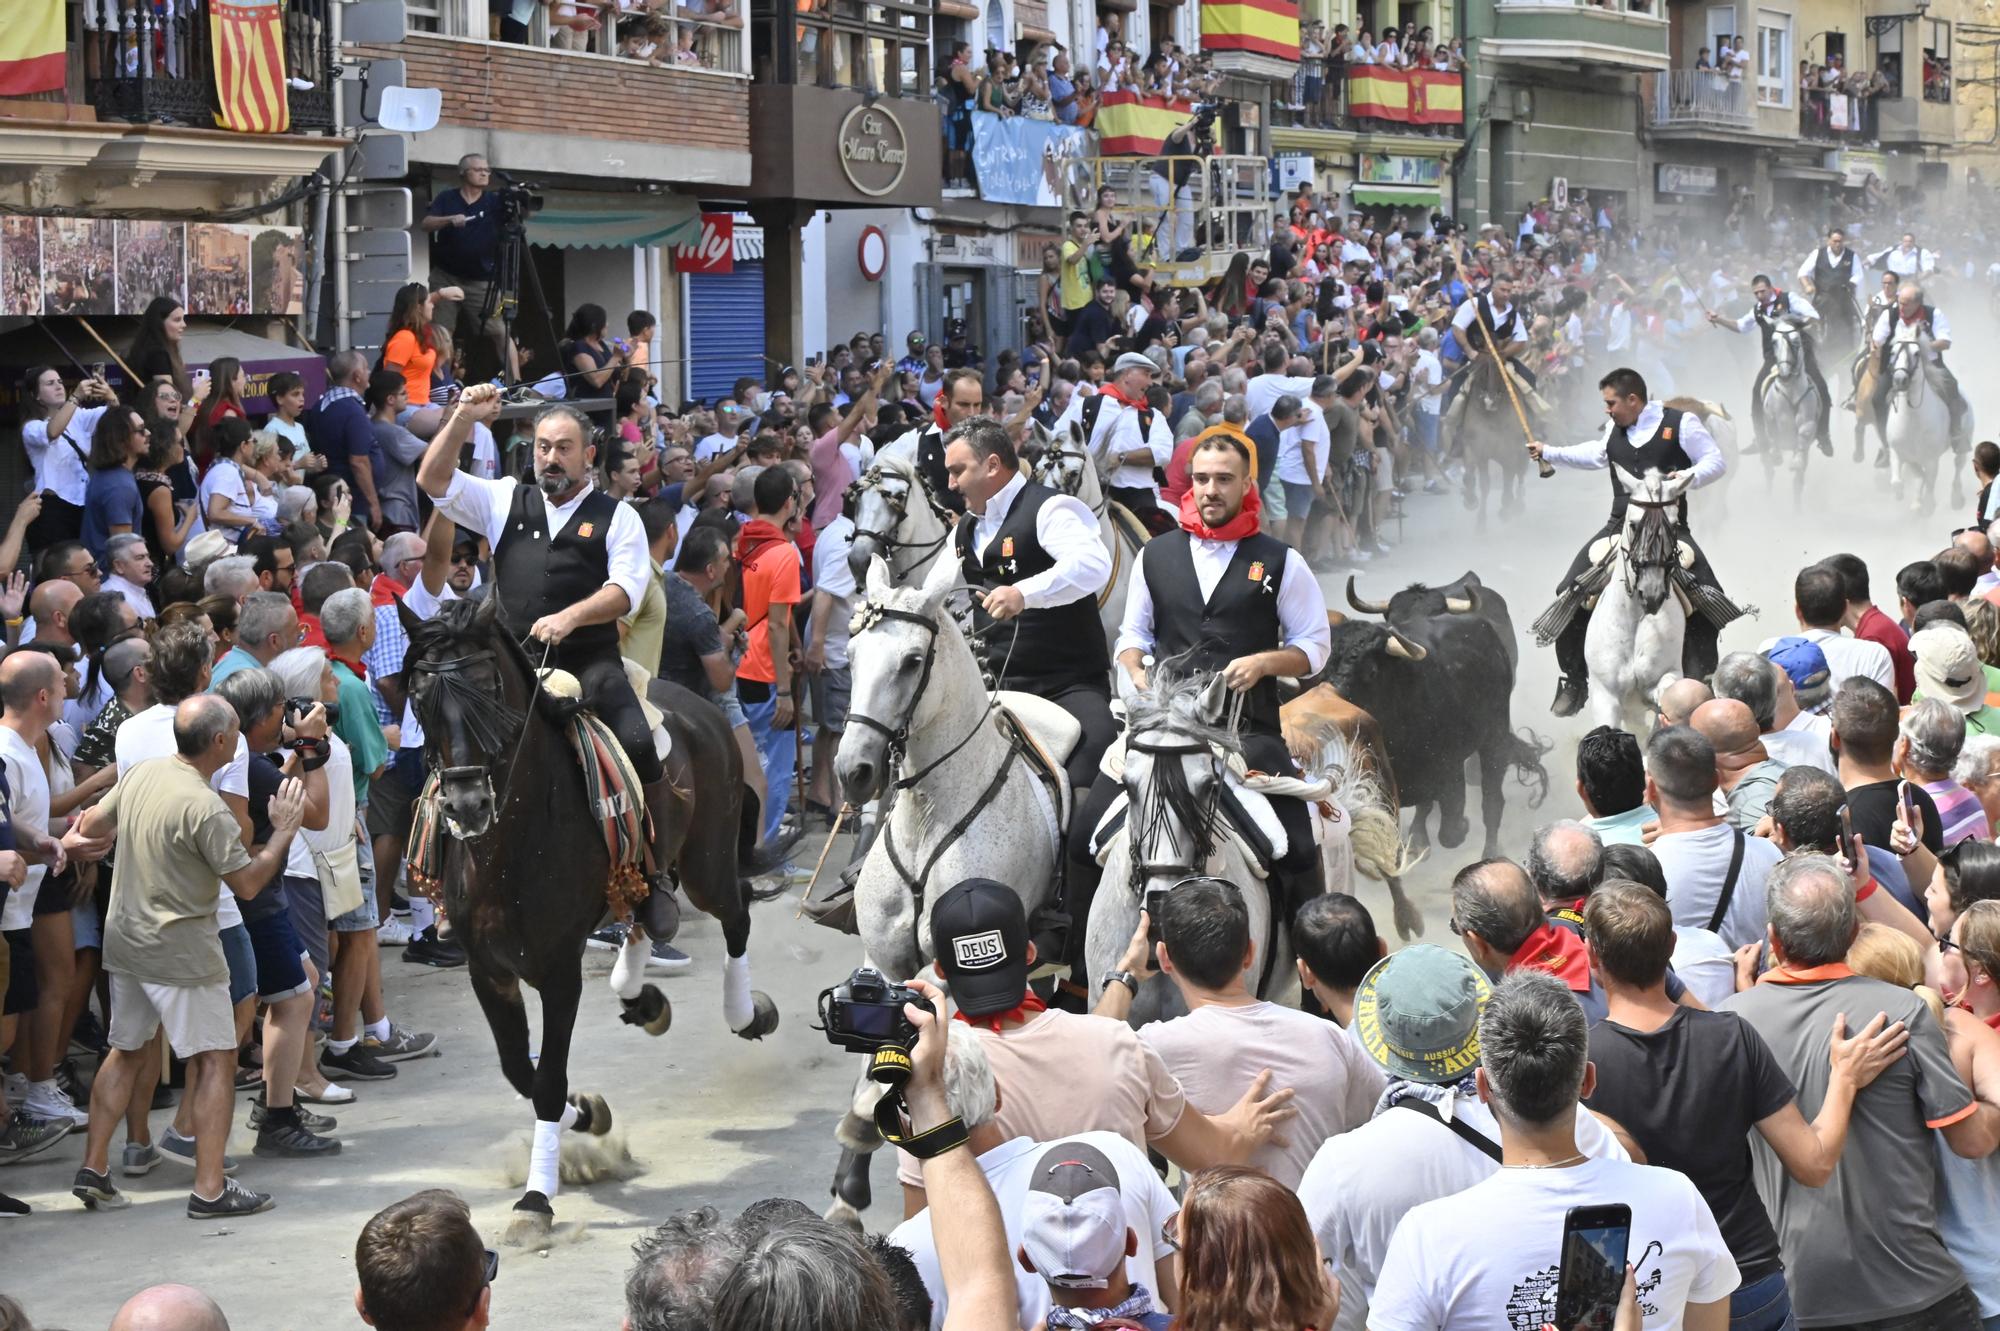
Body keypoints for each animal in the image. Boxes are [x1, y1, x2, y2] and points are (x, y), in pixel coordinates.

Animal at [398, 595, 780, 1239]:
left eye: (490, 688)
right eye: (422, 700)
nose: (467, 805)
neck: (508, 849)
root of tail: (700, 704)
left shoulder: (558, 973)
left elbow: (547, 1080)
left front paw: (535, 1199)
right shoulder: (487, 970)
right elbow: (519, 1071)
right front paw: (587, 1115)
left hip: (706, 863)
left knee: (736, 912)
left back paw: (745, 1011)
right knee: (648, 915)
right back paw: (640, 996)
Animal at [1320, 567, 1552, 855]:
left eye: (1371, 670)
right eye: (1326, 667)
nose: (1331, 704)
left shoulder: (1449, 771)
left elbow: (1450, 831)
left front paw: (1461, 826)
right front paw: (1418, 839)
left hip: (1494, 737)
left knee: (1492, 801)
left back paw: (1491, 849)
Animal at [1592, 465, 1688, 731]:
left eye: (1674, 525)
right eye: (1634, 524)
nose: (1652, 593)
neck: (1635, 618)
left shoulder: (1664, 678)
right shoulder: (1606, 698)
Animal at [1880, 337, 1960, 511]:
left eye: (1916, 353)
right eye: (1893, 352)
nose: (1900, 380)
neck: (1912, 422)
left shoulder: (1931, 459)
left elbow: (1929, 480)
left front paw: (1928, 505)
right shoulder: (1899, 452)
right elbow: (1898, 481)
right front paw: (1901, 495)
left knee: (1960, 465)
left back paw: (1957, 498)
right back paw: (1916, 503)